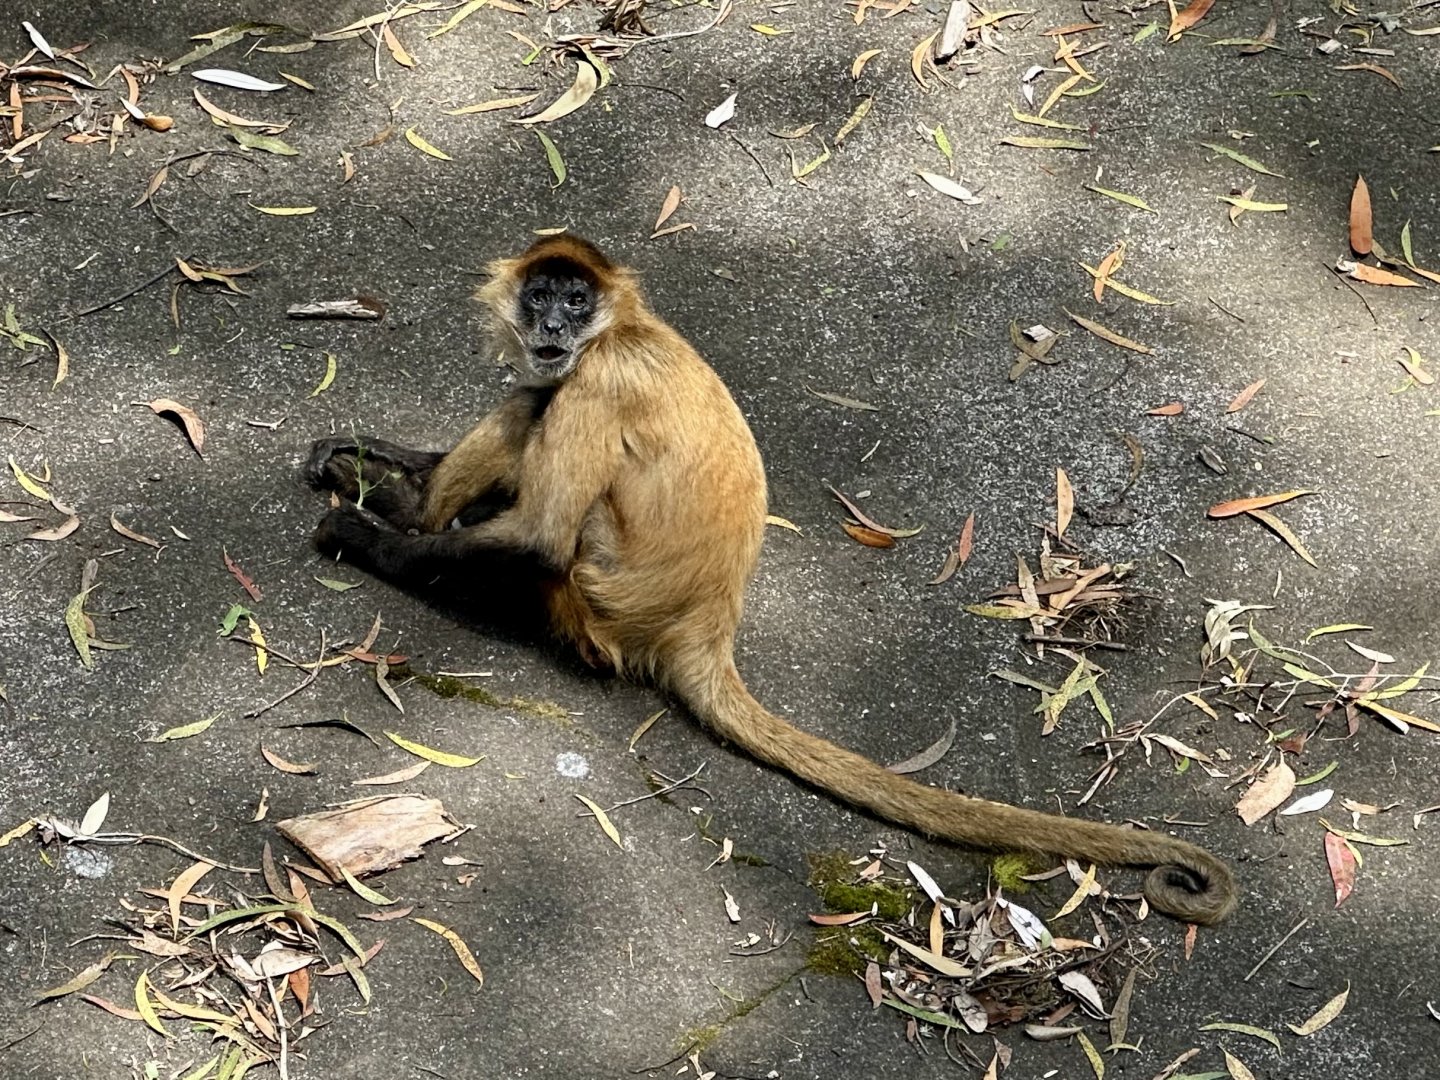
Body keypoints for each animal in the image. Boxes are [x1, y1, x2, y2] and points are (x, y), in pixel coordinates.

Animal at [304, 235, 1237, 926]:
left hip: (593, 587)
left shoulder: (602, 377)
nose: (557, 327)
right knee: (534, 399)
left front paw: (365, 533)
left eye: (578, 301)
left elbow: (534, 537)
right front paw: (376, 462)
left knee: (542, 419)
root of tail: (706, 623)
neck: (625, 332)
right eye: (542, 297)